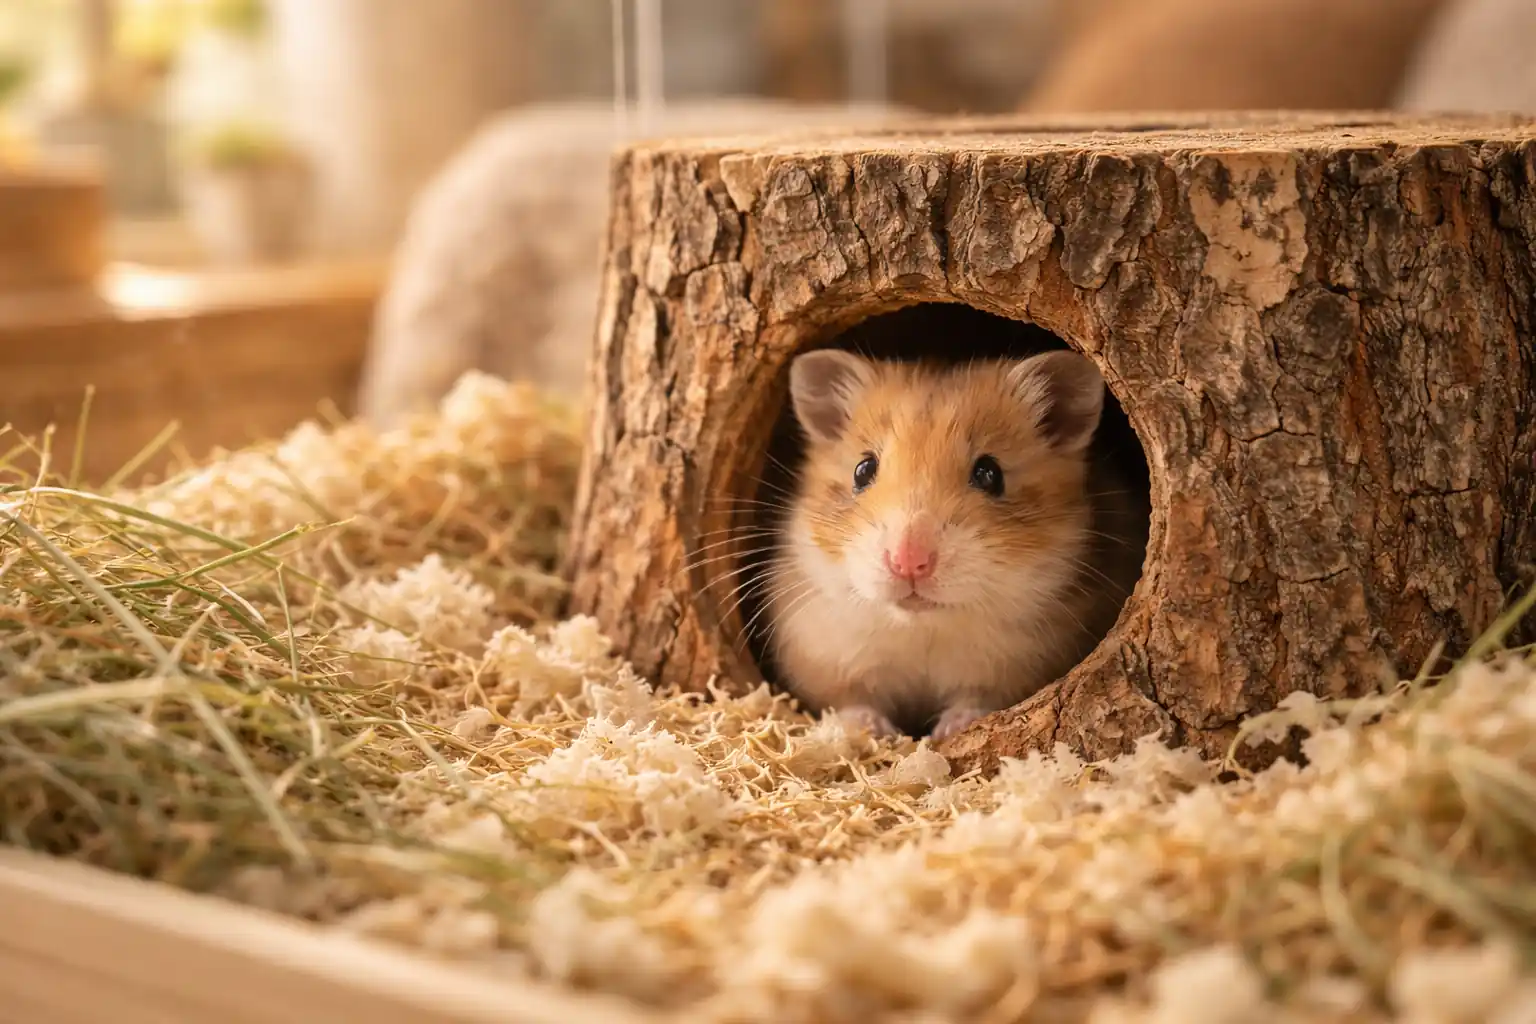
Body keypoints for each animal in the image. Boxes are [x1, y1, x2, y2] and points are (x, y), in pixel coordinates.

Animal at [761, 348, 1149, 742]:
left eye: (990, 474)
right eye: (863, 469)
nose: (909, 562)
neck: (923, 628)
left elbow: (976, 700)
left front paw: (948, 730)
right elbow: (852, 701)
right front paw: (872, 730)